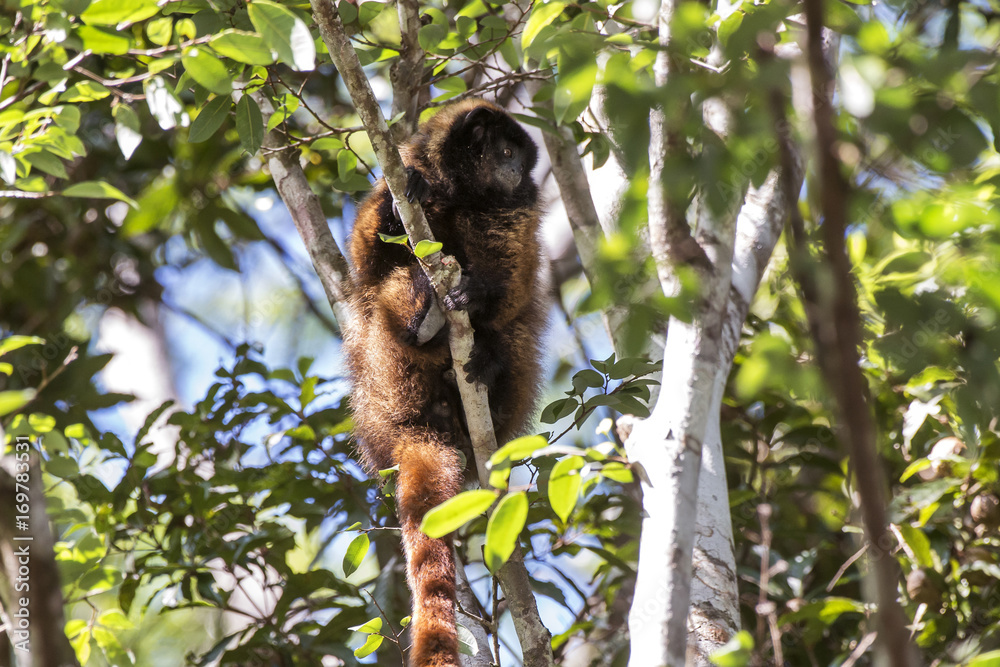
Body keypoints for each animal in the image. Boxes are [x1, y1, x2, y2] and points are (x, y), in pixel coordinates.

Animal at [343, 98, 547, 667]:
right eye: (503, 151)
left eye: (517, 155)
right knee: (390, 289)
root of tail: (419, 423)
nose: (517, 171)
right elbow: (367, 263)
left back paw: (485, 359)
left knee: (516, 326)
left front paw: (480, 302)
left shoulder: (518, 208)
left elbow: (514, 287)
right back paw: (423, 319)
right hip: (382, 374)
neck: (462, 191)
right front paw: (401, 201)